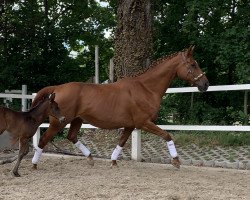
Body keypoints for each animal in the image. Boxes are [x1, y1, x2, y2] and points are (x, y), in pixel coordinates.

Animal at [30, 46, 209, 170]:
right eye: (193, 64)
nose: (205, 84)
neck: (146, 88)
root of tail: (57, 88)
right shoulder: (144, 123)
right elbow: (167, 135)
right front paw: (176, 161)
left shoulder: (130, 125)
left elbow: (121, 142)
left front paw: (113, 162)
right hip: (59, 122)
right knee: (43, 140)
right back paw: (34, 164)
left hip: (77, 120)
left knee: (71, 136)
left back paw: (90, 158)